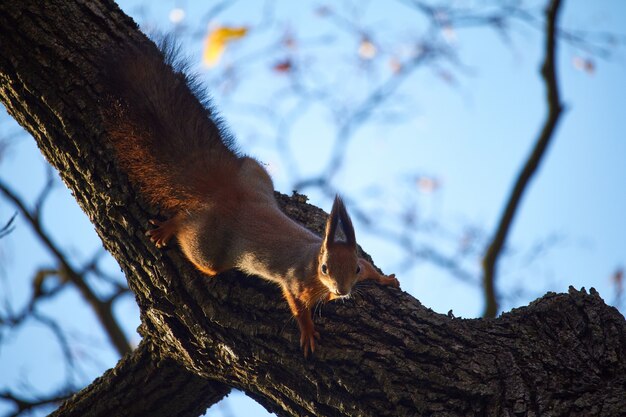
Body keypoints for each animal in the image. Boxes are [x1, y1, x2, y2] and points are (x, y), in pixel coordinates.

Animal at [101, 40, 394, 356]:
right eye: (325, 268)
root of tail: (225, 193)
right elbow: (296, 305)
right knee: (188, 230)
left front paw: (385, 278)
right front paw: (307, 331)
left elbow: (369, 273)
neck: (314, 262)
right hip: (207, 250)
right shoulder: (294, 281)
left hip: (255, 173)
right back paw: (170, 228)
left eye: (355, 268)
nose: (342, 291)